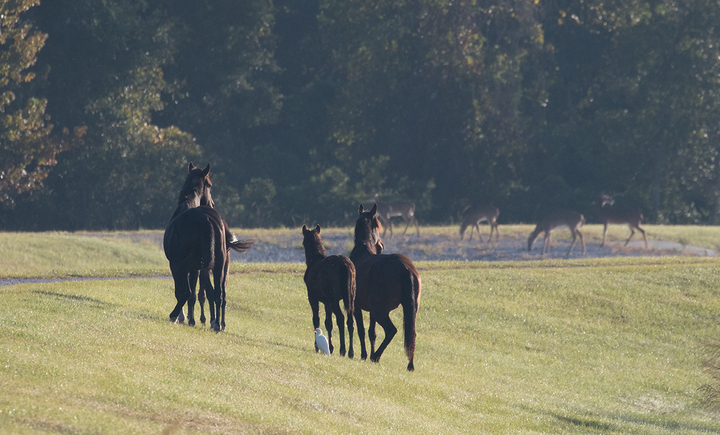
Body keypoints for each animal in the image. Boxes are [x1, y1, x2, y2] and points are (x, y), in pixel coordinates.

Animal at [164, 163, 252, 331]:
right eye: (210, 185)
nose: (212, 203)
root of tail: (206, 219)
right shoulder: (196, 268)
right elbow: (196, 294)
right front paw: (193, 319)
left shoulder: (178, 264)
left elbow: (182, 291)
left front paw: (182, 317)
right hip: (219, 264)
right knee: (219, 293)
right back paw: (218, 324)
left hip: (184, 264)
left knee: (188, 292)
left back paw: (175, 315)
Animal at [301, 224, 356, 357]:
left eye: (304, 242)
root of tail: (345, 265)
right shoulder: (327, 302)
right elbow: (328, 322)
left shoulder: (313, 298)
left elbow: (318, 320)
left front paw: (319, 346)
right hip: (351, 297)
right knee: (350, 321)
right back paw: (350, 352)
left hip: (334, 299)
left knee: (341, 318)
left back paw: (342, 349)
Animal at [350, 204, 422, 371]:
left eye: (378, 225)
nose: (381, 246)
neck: (362, 251)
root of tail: (406, 268)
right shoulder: (370, 311)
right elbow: (372, 332)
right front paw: (368, 354)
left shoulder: (357, 306)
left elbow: (362, 330)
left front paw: (364, 355)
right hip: (408, 309)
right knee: (412, 334)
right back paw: (409, 364)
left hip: (381, 311)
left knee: (391, 330)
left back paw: (376, 356)